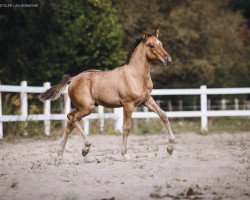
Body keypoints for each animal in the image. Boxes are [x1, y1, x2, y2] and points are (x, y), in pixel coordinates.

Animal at [39, 28, 176, 159]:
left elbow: (164, 115)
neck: (135, 75)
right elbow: (126, 127)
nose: (168, 60)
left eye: (161, 44)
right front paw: (124, 153)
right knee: (71, 118)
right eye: (151, 45)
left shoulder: (146, 100)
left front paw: (170, 148)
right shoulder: (128, 104)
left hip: (81, 107)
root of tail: (72, 79)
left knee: (69, 123)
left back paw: (60, 155)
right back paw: (85, 148)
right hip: (86, 107)